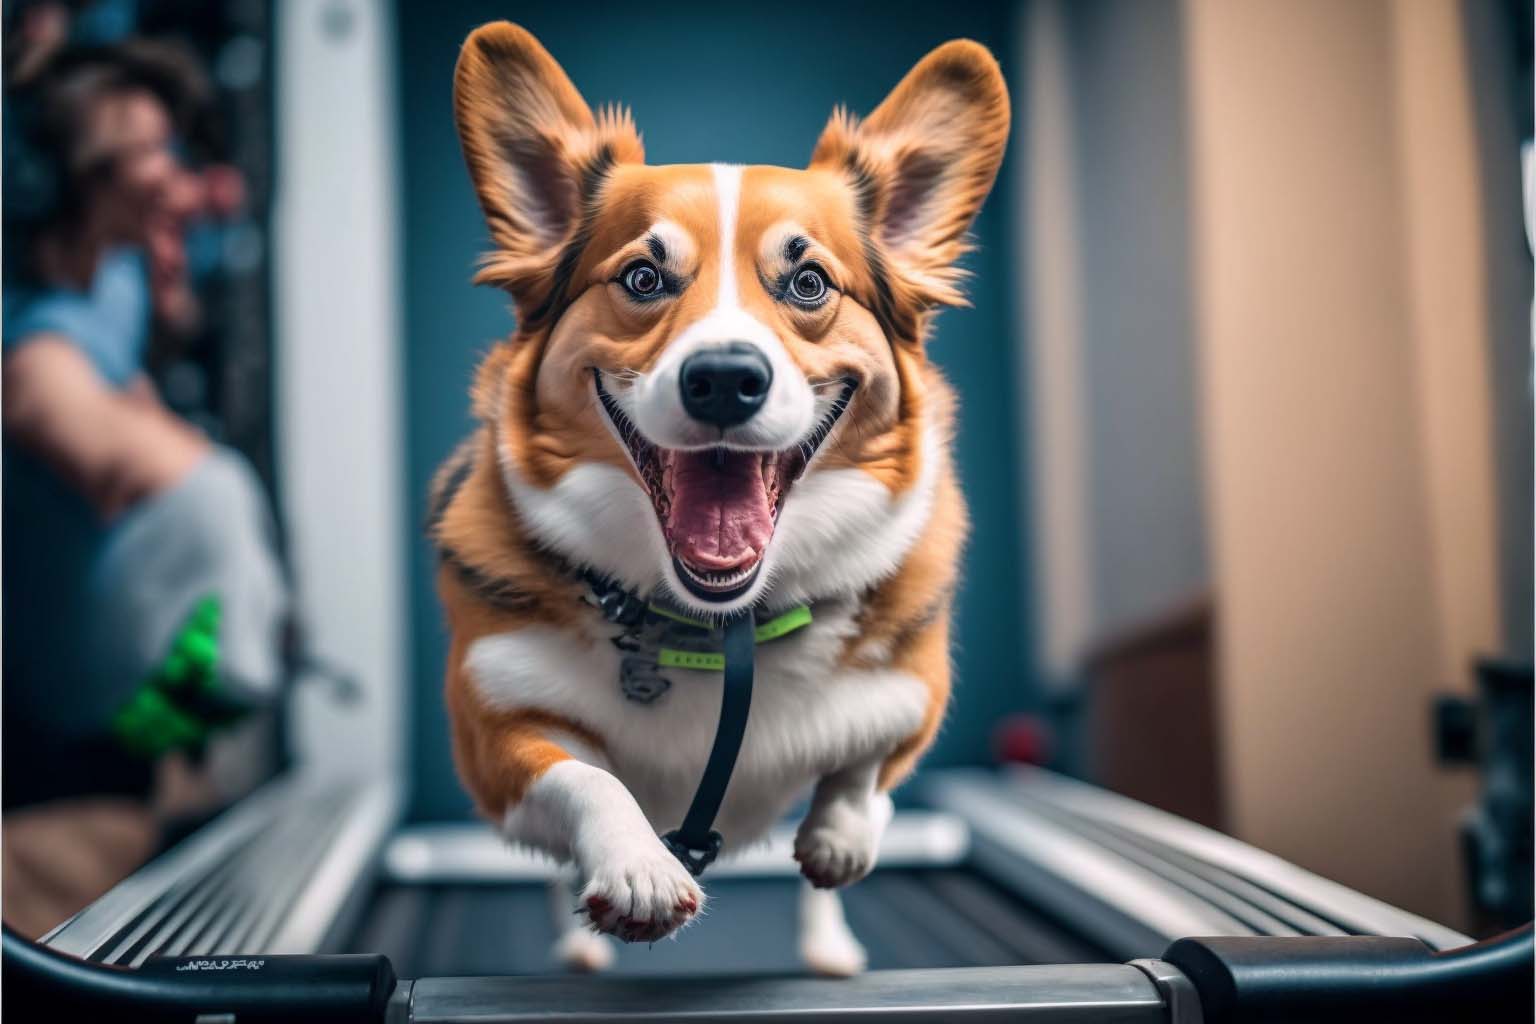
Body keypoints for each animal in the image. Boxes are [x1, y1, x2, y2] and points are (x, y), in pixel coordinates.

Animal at [433, 20, 1007, 976]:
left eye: (808, 283)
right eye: (642, 279)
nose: (726, 380)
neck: (718, 627)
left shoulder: (914, 694)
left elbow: (867, 763)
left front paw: (842, 836)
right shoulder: (494, 729)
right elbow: (584, 775)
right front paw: (637, 869)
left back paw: (828, 944)